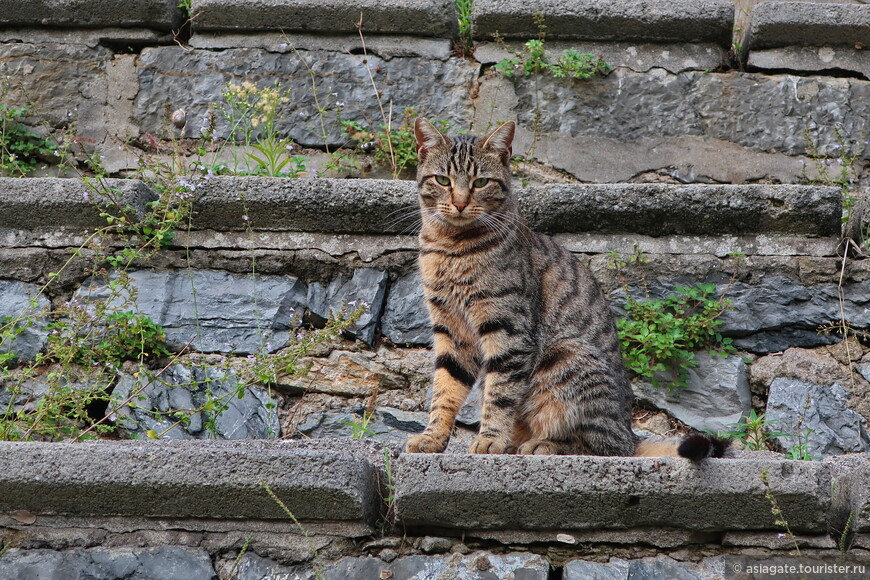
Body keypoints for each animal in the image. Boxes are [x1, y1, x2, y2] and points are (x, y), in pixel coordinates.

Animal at [408, 119, 728, 462]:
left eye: (480, 182)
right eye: (443, 180)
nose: (459, 203)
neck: (452, 247)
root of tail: (630, 432)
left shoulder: (509, 330)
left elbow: (500, 394)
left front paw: (490, 439)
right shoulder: (451, 329)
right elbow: (446, 388)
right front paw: (433, 436)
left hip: (566, 358)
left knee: (604, 445)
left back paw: (542, 444)